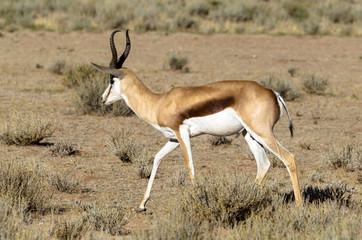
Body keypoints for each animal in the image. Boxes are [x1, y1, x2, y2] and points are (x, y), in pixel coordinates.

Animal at [91, 29, 302, 210]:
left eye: (111, 80)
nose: (102, 98)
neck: (159, 102)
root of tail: (273, 93)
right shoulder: (173, 138)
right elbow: (157, 158)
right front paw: (142, 205)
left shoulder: (182, 133)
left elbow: (190, 165)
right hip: (249, 134)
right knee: (264, 164)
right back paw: (247, 197)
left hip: (262, 133)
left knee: (288, 157)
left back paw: (299, 206)